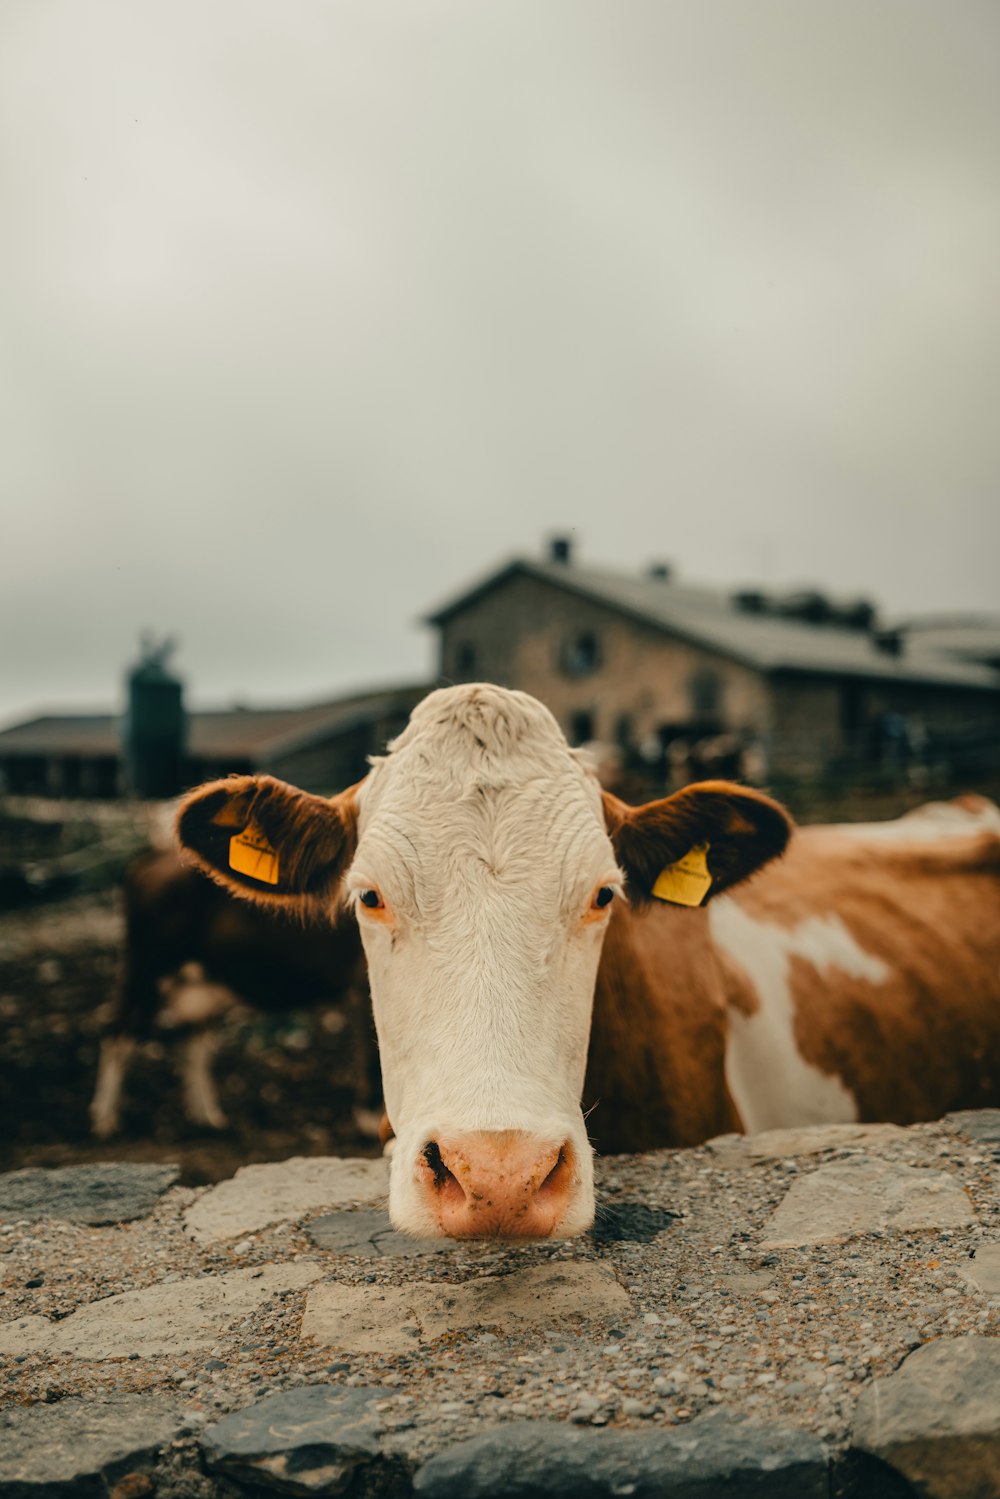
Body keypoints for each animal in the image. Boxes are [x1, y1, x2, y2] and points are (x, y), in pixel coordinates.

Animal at [88, 851, 379, 1139]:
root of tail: (149, 861)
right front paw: (371, 1121)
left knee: (193, 1045)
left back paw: (207, 1118)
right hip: (147, 970)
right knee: (117, 1033)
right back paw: (105, 1120)